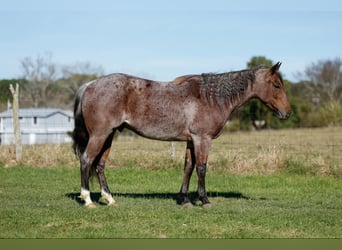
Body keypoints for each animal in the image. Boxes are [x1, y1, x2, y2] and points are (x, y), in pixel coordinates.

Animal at [71, 62, 292, 207]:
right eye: (276, 85)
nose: (288, 113)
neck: (210, 98)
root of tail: (89, 85)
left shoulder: (191, 141)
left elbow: (188, 167)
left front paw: (184, 199)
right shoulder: (202, 139)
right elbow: (201, 168)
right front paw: (204, 200)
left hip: (109, 136)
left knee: (99, 165)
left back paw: (109, 199)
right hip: (99, 135)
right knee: (86, 160)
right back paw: (88, 199)